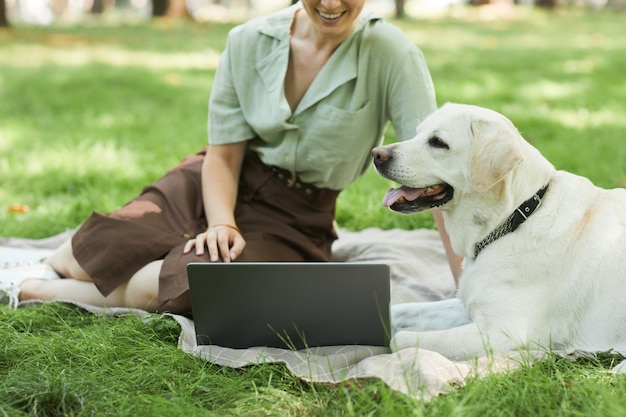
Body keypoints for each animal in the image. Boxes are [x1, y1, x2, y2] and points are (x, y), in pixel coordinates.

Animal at [372, 102, 620, 362]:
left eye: (438, 142)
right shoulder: (468, 305)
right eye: (417, 133)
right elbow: (399, 308)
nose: (376, 154)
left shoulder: (501, 332)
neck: (517, 218)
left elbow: (398, 339)